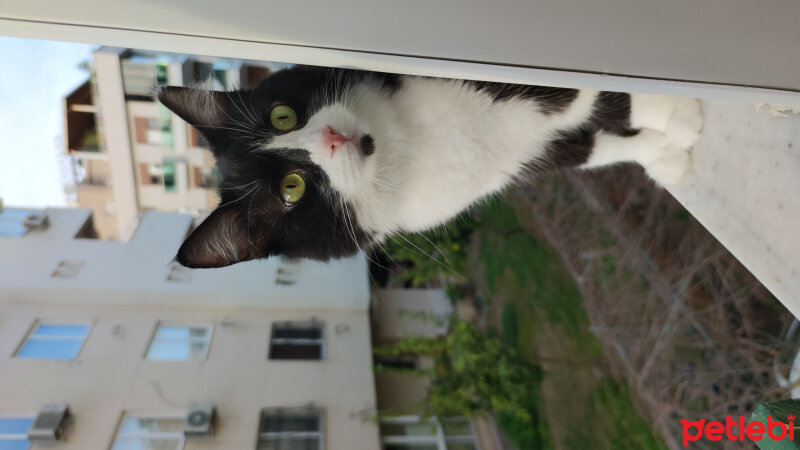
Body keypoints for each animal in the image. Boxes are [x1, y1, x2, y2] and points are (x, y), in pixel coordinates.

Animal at [159, 67, 704, 268]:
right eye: (291, 190)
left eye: (282, 116)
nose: (330, 137)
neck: (405, 147)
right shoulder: (520, 159)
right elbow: (589, 147)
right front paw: (669, 151)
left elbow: (596, 95)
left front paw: (675, 113)